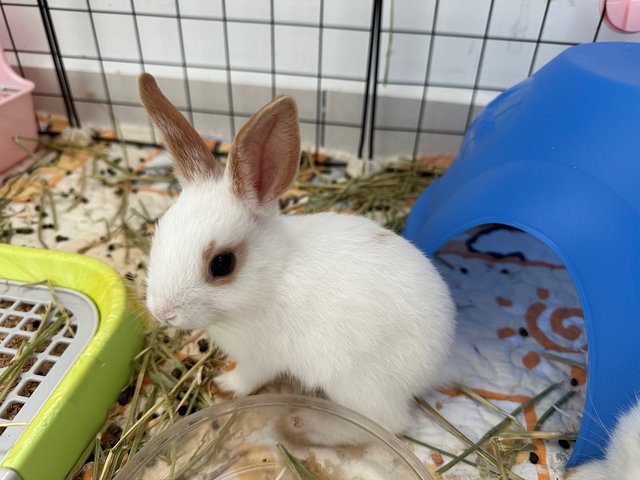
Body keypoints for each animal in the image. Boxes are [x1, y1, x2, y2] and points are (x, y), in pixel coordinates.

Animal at [139, 72, 456, 436]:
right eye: (158, 233)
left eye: (222, 263)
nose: (162, 312)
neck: (273, 276)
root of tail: (436, 361)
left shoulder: (260, 358)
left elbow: (248, 379)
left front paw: (225, 383)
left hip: (358, 384)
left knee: (387, 424)